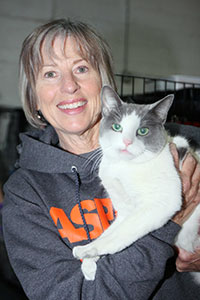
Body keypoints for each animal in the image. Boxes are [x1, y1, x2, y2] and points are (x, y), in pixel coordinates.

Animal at [73, 85, 200, 282]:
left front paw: (89, 250)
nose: (127, 142)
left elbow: (122, 233)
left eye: (143, 131)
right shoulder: (125, 210)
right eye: (117, 127)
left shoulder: (162, 203)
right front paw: (88, 261)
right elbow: (110, 232)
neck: (124, 167)